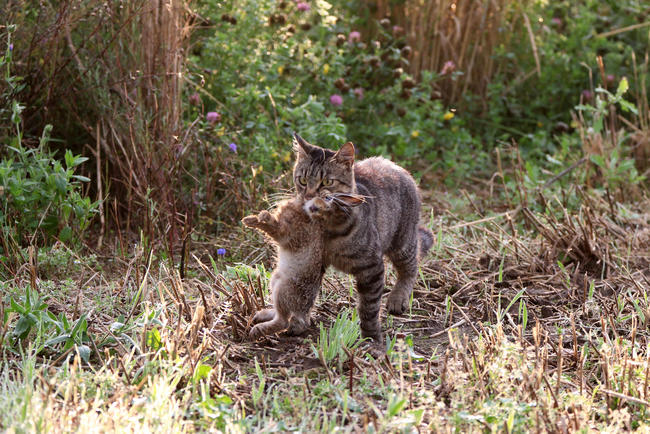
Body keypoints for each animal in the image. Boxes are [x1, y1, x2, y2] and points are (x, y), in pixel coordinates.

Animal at [290, 134, 430, 344]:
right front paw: (299, 321)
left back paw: (398, 298)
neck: (327, 229)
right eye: (303, 179)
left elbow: (369, 308)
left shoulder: (372, 267)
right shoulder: (311, 262)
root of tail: (394, 164)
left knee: (411, 266)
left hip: (403, 242)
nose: (308, 195)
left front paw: (371, 338)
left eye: (327, 182)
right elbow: (305, 293)